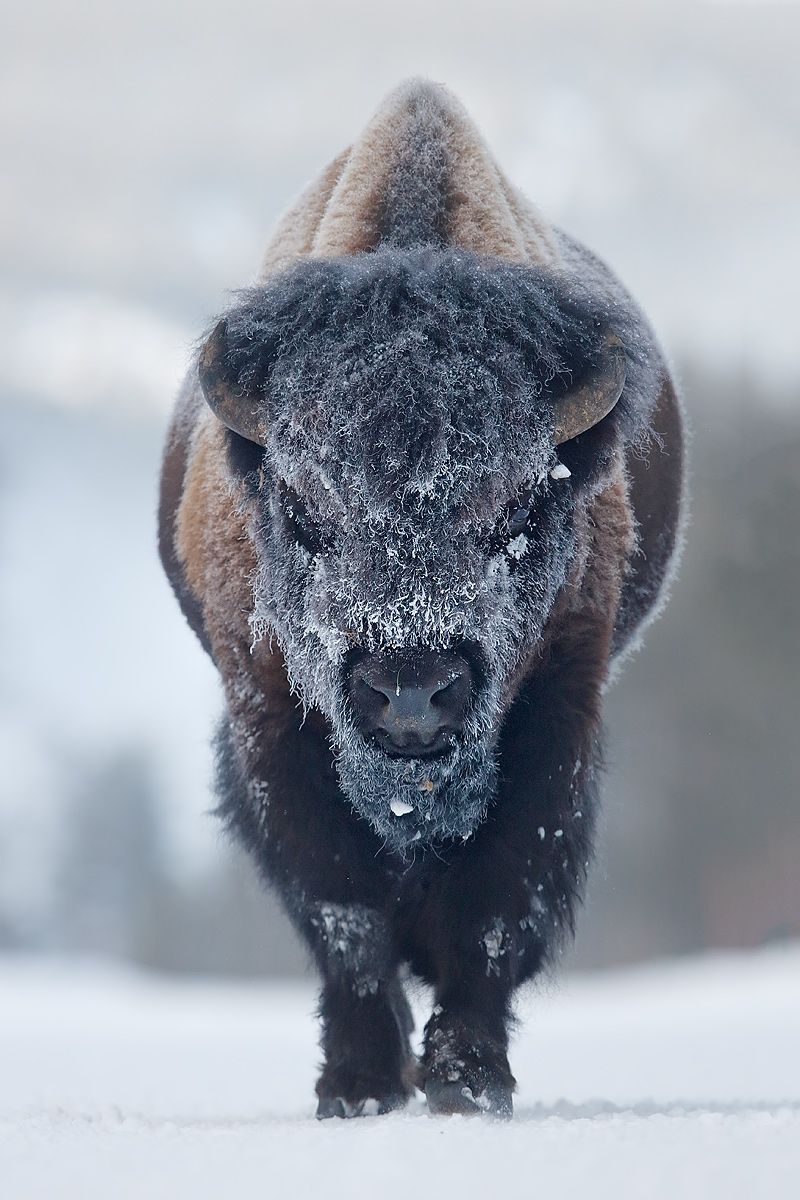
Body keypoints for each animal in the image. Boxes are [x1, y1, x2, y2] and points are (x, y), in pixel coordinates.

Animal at [159, 79, 685, 1118]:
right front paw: (358, 1086)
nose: (410, 693)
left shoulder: (556, 714)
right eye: (301, 507)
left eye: (519, 507)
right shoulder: (268, 722)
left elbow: (495, 902)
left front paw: (467, 1081)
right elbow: (343, 910)